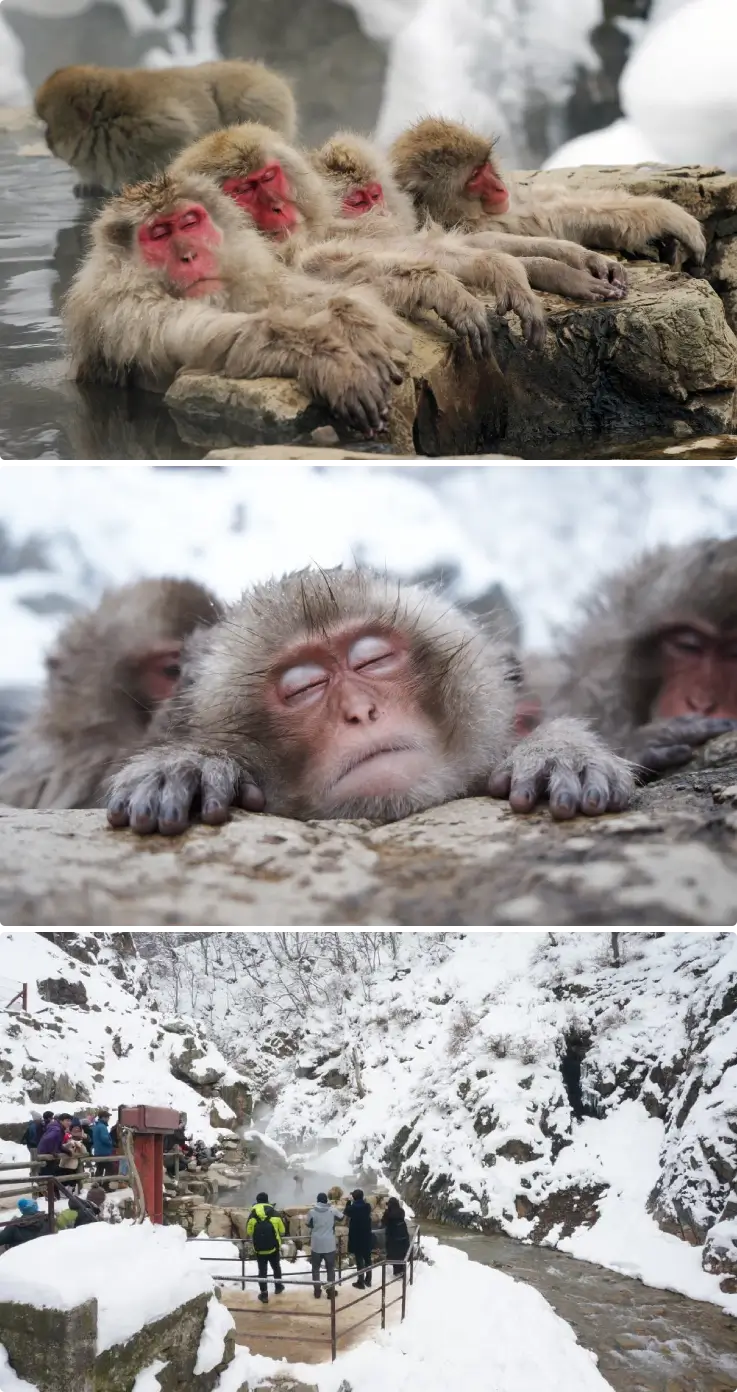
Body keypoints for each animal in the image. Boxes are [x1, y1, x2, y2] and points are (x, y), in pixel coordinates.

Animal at [62, 172, 411, 438]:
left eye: (189, 223)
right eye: (159, 233)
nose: (189, 255)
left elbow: (295, 294)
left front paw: (353, 322)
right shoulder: (125, 310)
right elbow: (206, 336)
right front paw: (329, 358)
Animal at [311, 132, 630, 306]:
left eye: (374, 195)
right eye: (358, 202)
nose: (381, 211)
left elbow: (473, 241)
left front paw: (572, 258)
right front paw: (555, 273)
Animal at [389, 118, 707, 269]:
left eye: (484, 166)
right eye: (475, 178)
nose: (499, 187)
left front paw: (664, 213)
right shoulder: (475, 223)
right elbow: (541, 221)